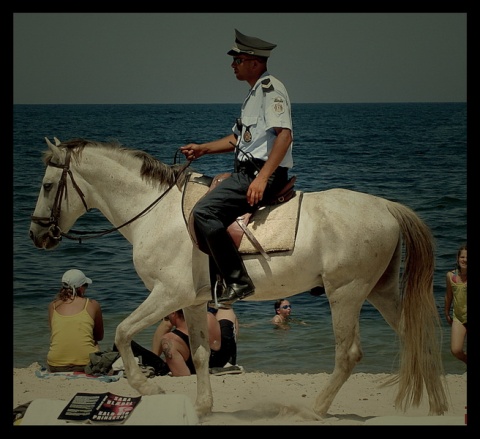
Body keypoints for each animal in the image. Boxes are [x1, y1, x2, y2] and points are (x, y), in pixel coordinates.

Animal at [28, 138, 448, 420]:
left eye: (47, 186)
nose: (37, 235)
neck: (156, 213)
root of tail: (387, 207)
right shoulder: (193, 301)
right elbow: (199, 354)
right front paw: (202, 407)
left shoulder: (168, 294)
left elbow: (121, 332)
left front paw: (149, 386)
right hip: (381, 292)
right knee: (415, 338)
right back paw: (436, 403)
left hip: (345, 294)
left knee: (349, 354)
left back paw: (316, 408)